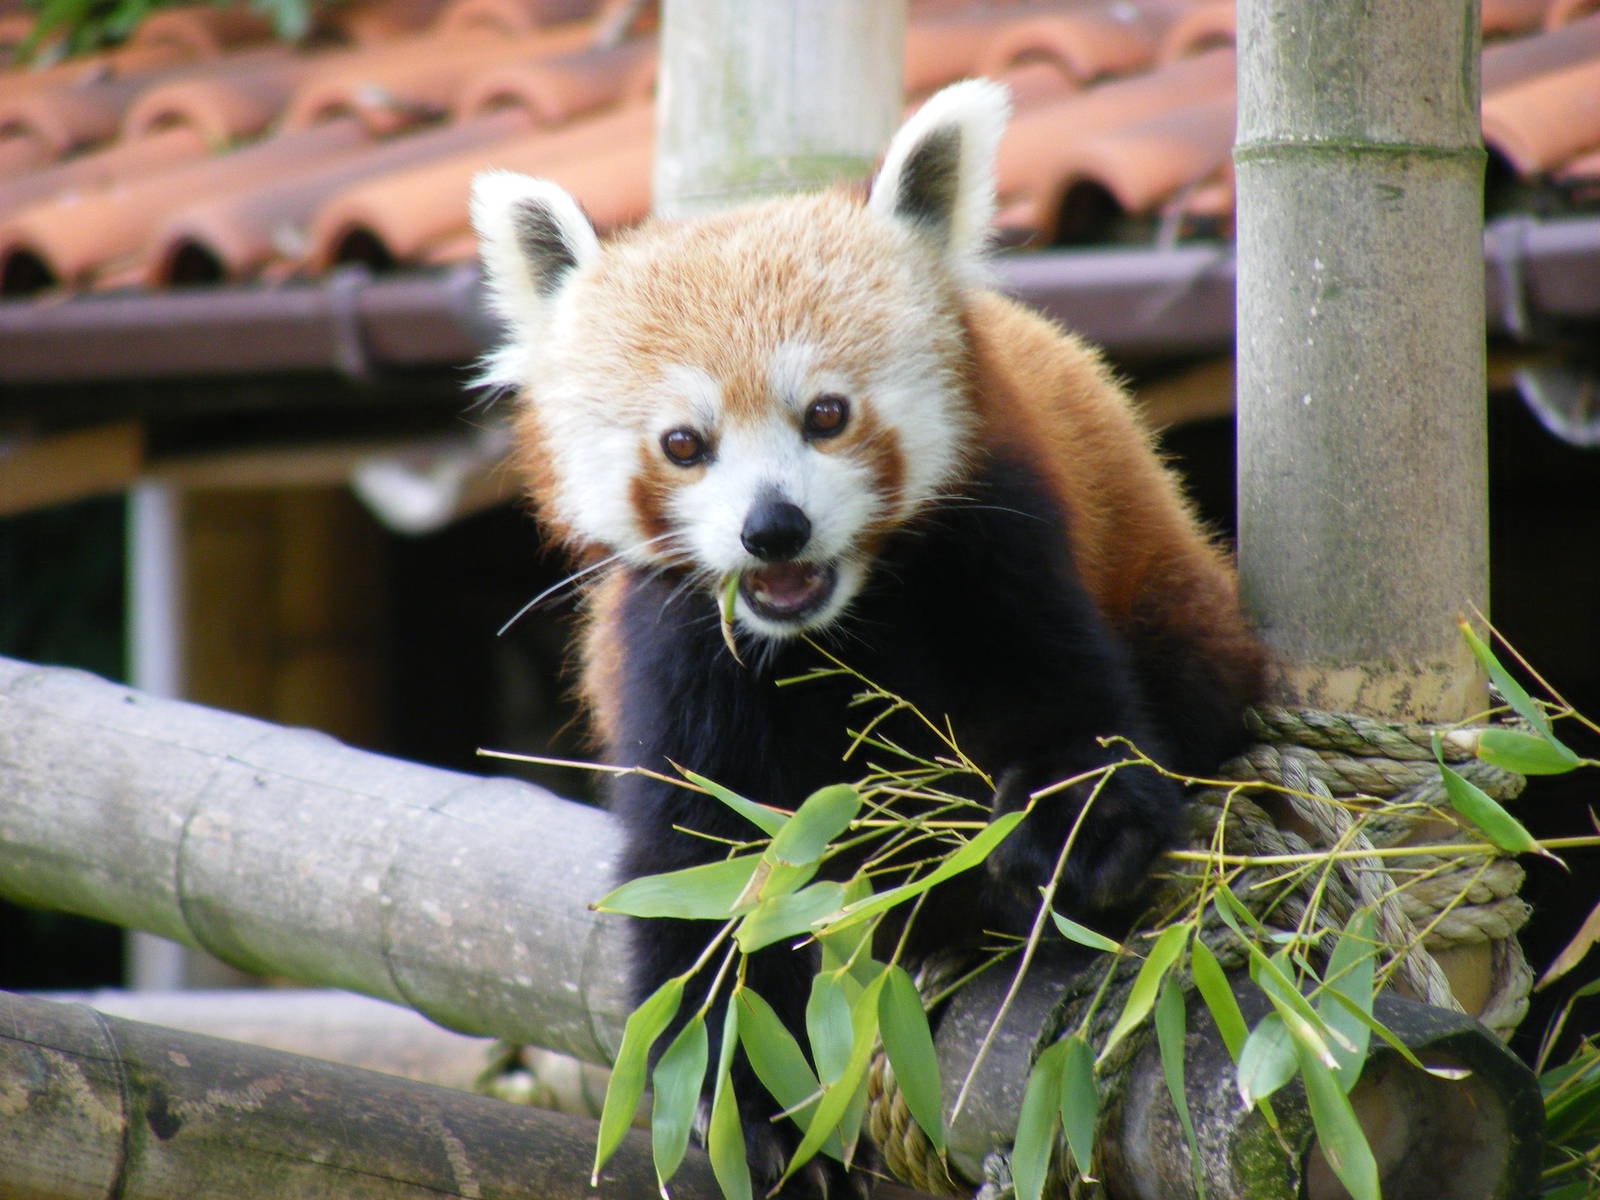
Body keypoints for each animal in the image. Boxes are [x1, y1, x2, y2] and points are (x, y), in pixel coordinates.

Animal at [471, 79, 1264, 1196]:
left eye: (827, 414)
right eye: (684, 444)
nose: (773, 528)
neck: (830, 625)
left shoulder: (997, 546)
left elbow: (1066, 711)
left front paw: (1076, 833)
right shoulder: (678, 642)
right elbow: (706, 873)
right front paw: (737, 1099)